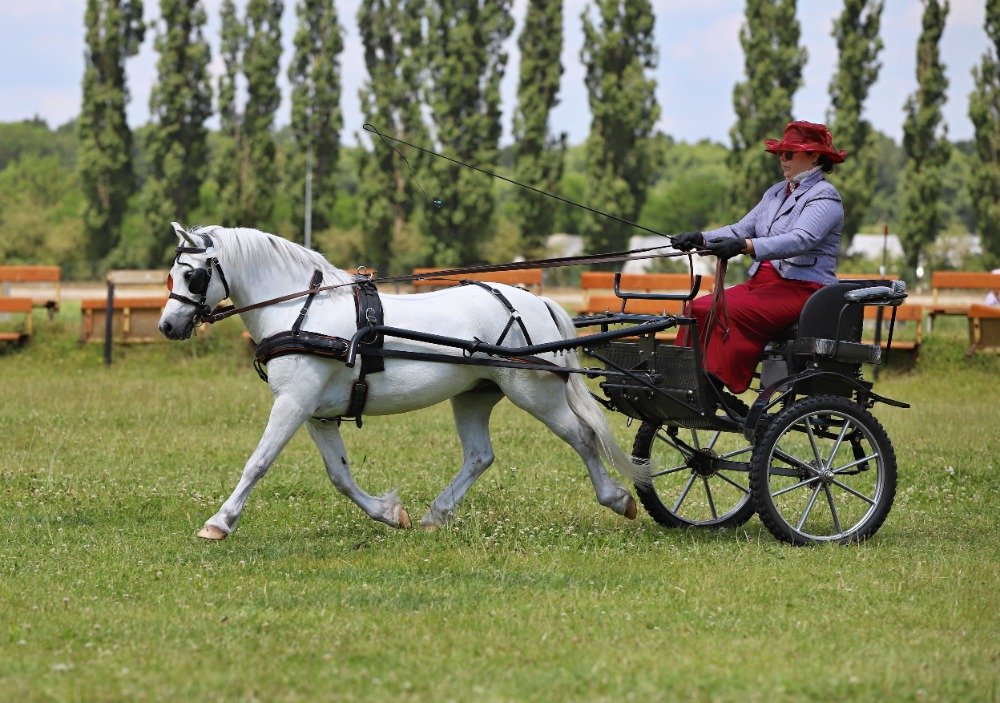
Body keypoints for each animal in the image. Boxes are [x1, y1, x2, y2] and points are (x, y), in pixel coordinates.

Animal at [158, 223, 648, 540]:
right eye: (171, 274)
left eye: (193, 274)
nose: (167, 325)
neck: (300, 309)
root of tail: (535, 301)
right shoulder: (318, 415)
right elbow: (339, 475)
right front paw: (391, 514)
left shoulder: (293, 403)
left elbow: (258, 462)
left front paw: (219, 523)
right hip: (474, 396)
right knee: (480, 456)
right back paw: (436, 514)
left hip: (535, 393)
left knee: (582, 436)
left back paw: (617, 498)